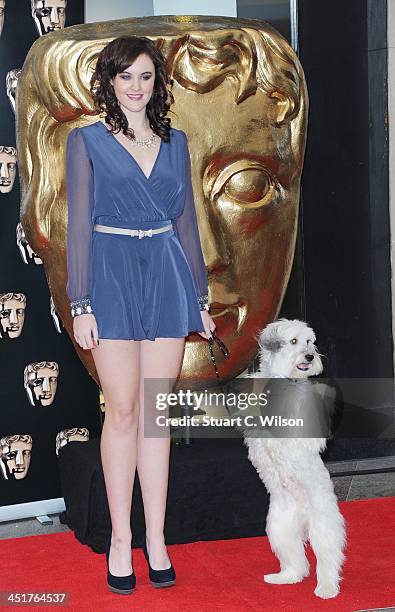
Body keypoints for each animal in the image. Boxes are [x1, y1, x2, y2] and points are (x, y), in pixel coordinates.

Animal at [243, 320, 348, 596]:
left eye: (310, 342)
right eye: (293, 341)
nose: (310, 356)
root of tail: (303, 515)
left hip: (323, 525)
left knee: (327, 558)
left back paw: (327, 588)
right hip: (279, 527)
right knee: (296, 561)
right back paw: (286, 577)